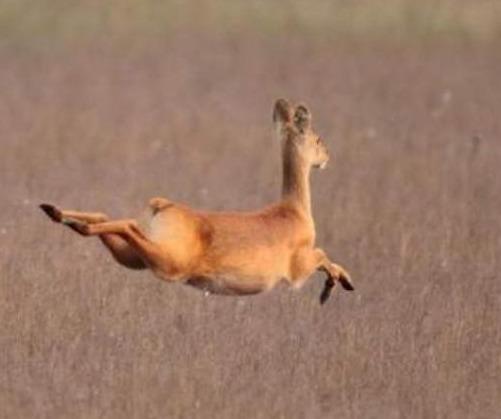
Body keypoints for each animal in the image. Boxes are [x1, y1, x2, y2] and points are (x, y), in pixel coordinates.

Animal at [40, 101, 352, 306]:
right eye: (317, 138)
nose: (326, 157)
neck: (293, 212)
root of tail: (162, 205)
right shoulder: (297, 272)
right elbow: (324, 255)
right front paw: (336, 287)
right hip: (167, 264)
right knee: (125, 224)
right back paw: (69, 220)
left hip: (134, 259)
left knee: (105, 218)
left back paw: (57, 213)